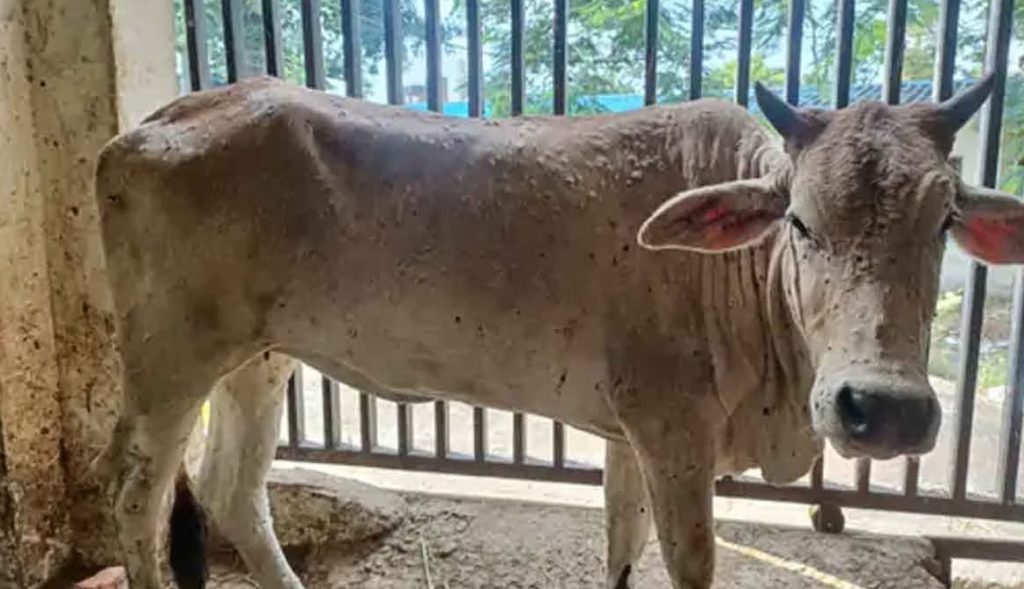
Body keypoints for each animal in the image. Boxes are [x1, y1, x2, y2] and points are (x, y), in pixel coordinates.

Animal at [90, 72, 1024, 589]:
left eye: (945, 220)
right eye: (798, 219)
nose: (884, 407)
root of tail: (151, 124)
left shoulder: (630, 434)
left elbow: (623, 548)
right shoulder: (672, 431)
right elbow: (690, 561)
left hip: (259, 357)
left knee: (233, 490)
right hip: (170, 358)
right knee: (136, 498)